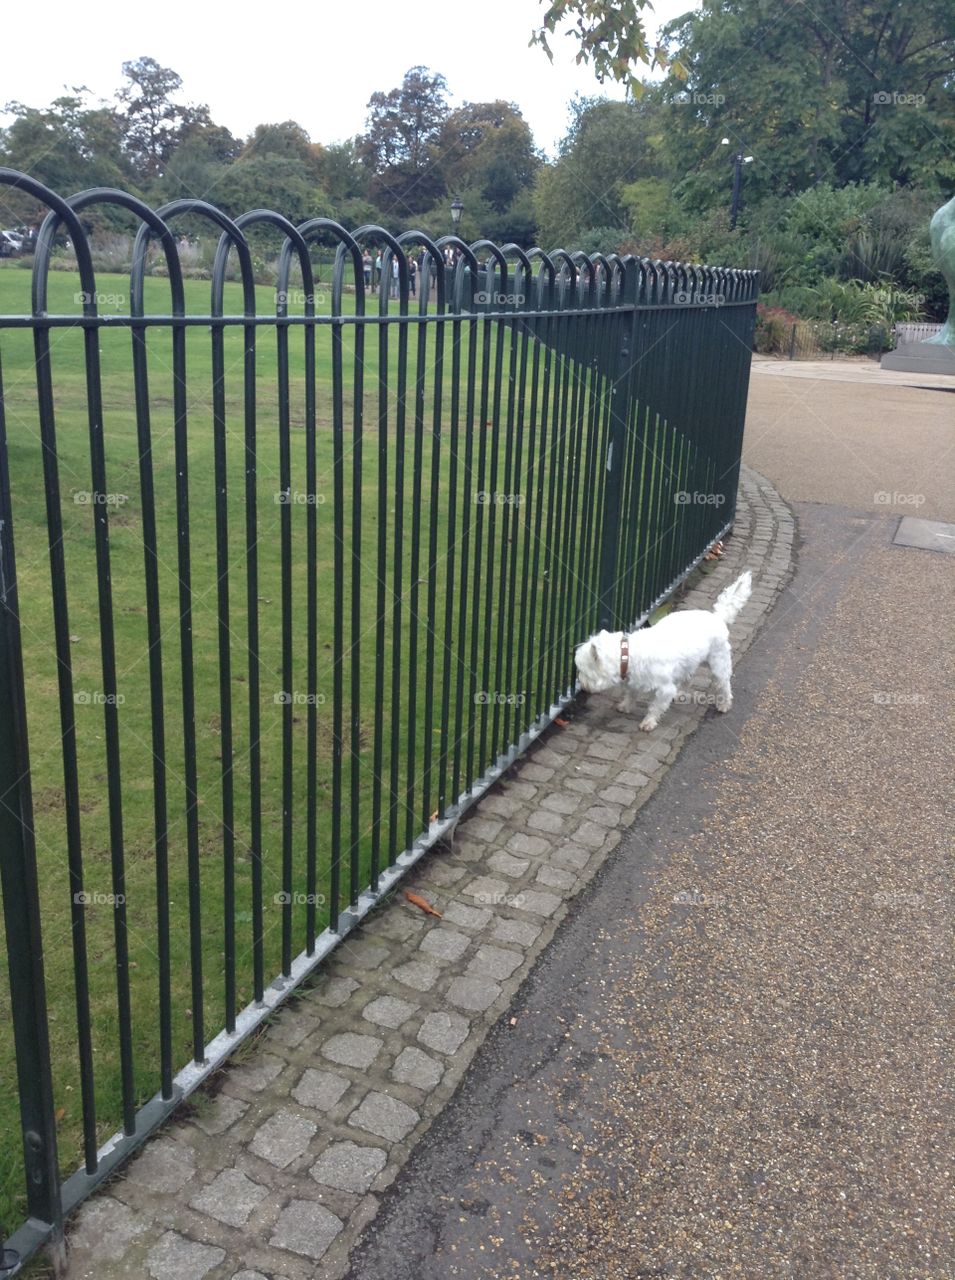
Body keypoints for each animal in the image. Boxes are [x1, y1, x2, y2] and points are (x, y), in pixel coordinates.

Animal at [573, 570, 752, 732]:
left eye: (583, 671)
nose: (582, 684)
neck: (628, 656)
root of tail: (717, 617)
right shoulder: (635, 681)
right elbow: (631, 694)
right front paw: (626, 706)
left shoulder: (664, 689)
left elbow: (655, 707)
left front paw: (648, 722)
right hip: (688, 663)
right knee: (687, 677)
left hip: (718, 663)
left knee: (723, 683)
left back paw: (724, 704)